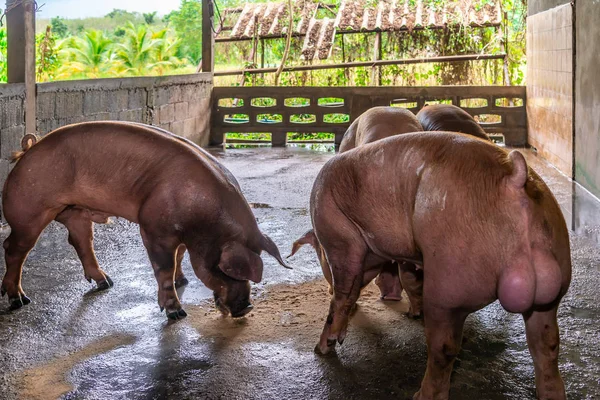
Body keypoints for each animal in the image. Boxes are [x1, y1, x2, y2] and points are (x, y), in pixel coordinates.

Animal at [0, 120, 290, 320]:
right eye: (225, 270)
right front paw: (176, 313)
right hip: (29, 211)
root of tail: (28, 150)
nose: (247, 308)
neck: (204, 224)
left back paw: (106, 282)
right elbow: (163, 268)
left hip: (76, 212)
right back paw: (19, 300)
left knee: (81, 240)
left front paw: (182, 281)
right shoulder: (153, 227)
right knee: (14, 248)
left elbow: (179, 257)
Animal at [310, 132, 572, 400]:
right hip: (555, 276)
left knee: (443, 348)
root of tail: (514, 181)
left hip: (448, 284)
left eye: (320, 254)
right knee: (547, 341)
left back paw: (419, 395)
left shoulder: (341, 242)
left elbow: (345, 294)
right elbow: (408, 279)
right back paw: (552, 394)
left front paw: (324, 347)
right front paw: (411, 311)